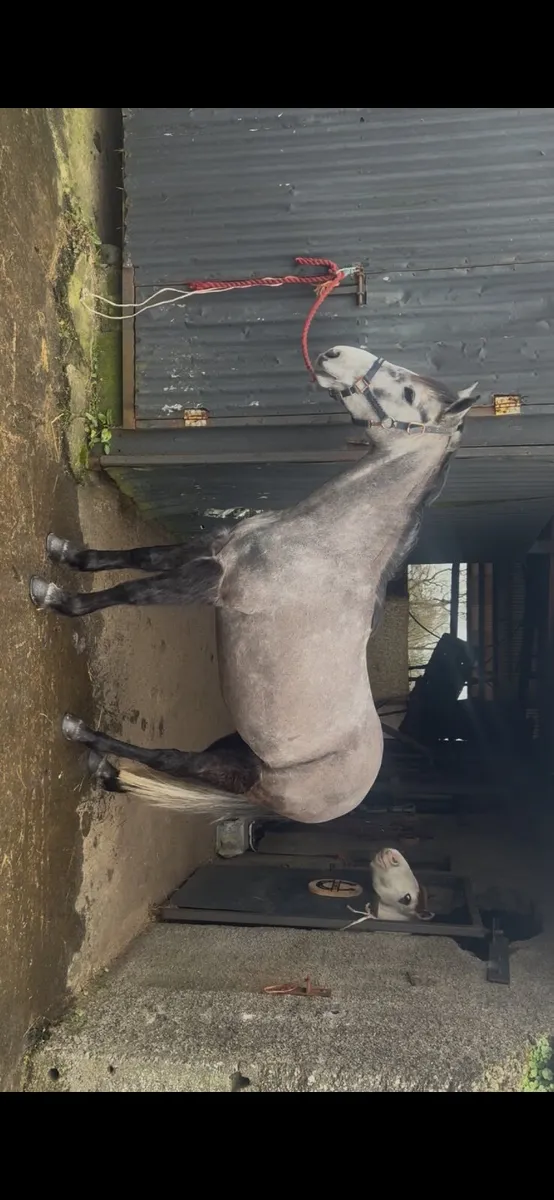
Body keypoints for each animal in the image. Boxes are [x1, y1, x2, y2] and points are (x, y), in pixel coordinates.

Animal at [29, 345, 478, 825]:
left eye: (409, 392)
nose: (334, 353)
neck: (325, 545)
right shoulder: (211, 548)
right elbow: (141, 557)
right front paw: (65, 553)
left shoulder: (212, 583)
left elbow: (130, 593)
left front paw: (54, 597)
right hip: (240, 748)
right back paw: (104, 769)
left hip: (235, 769)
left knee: (173, 760)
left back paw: (82, 735)